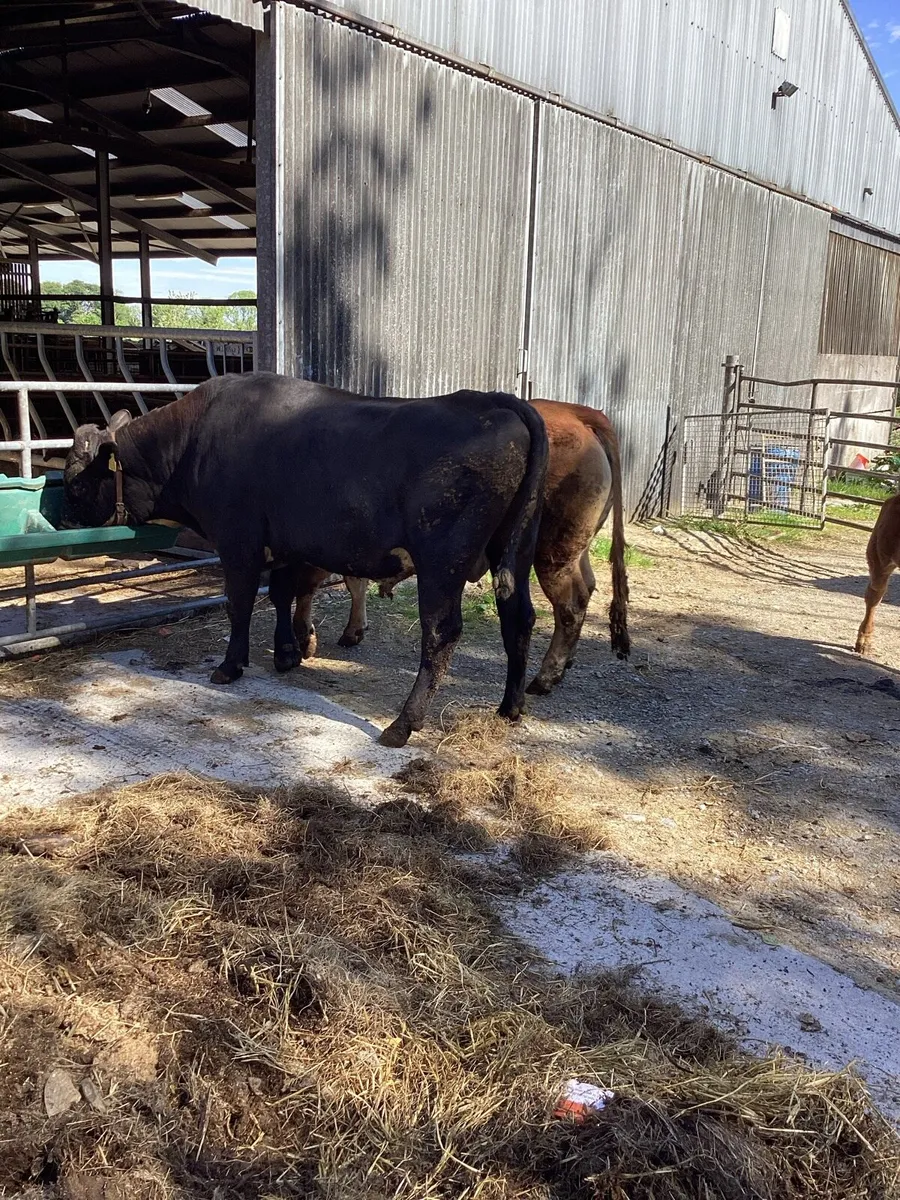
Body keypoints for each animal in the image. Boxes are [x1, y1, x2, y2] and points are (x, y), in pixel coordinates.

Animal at [62, 373, 549, 747]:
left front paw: (230, 666)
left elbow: (239, 603)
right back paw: (511, 706)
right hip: (515, 552)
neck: (193, 439)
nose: (66, 522)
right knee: (519, 618)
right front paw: (286, 654)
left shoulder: (237, 542)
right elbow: (281, 595)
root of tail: (491, 400)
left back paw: (402, 725)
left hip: (442, 561)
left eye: (76, 483)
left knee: (441, 632)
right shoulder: (284, 546)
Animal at [292, 399, 630, 694]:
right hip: (575, 547)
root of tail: (576, 414)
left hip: (553, 553)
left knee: (571, 603)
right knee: (587, 587)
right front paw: (352, 630)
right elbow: (351, 582)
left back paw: (545, 678)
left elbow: (308, 586)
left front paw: (304, 639)